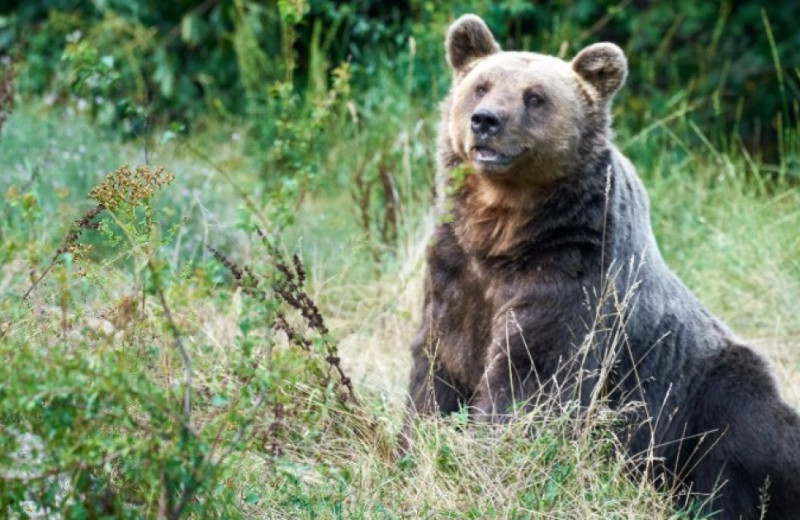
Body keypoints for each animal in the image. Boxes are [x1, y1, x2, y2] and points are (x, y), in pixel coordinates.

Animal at [410, 14, 800, 516]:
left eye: (535, 97)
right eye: (481, 86)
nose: (486, 121)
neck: (504, 231)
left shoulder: (571, 270)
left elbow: (531, 375)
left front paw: (490, 464)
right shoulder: (456, 270)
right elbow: (439, 363)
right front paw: (420, 444)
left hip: (709, 392)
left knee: (743, 441)